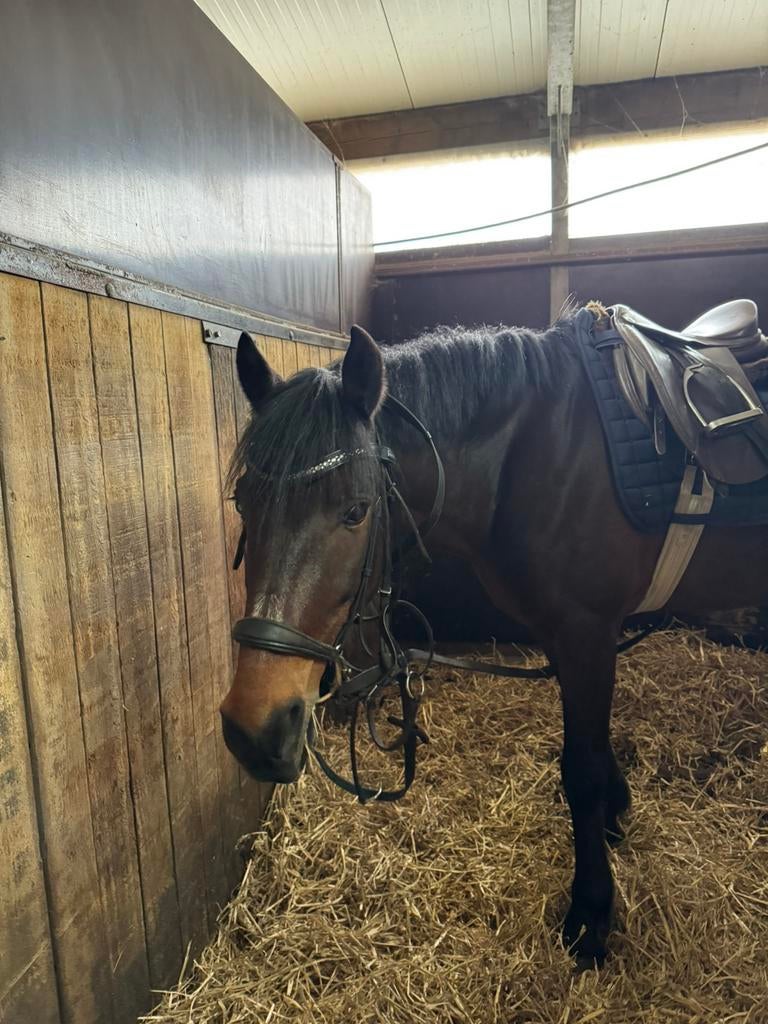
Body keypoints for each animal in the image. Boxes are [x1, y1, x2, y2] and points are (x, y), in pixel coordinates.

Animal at [220, 315, 768, 966]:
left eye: (355, 511)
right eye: (244, 503)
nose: (254, 730)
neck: (542, 450)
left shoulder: (585, 631)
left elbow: (580, 771)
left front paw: (591, 913)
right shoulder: (572, 636)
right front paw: (615, 817)